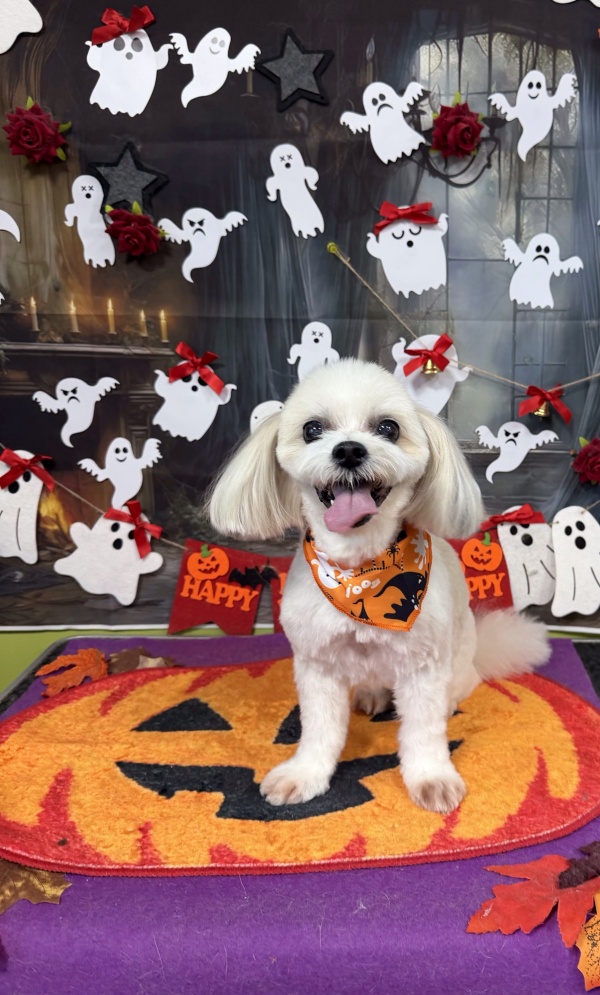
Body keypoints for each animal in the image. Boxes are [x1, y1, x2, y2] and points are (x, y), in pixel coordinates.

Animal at [209, 359, 550, 814]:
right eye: (312, 429)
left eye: (388, 428)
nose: (349, 450)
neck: (360, 572)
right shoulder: (316, 663)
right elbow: (320, 728)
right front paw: (306, 774)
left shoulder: (424, 666)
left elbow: (423, 731)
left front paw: (431, 778)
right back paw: (370, 695)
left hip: (456, 667)